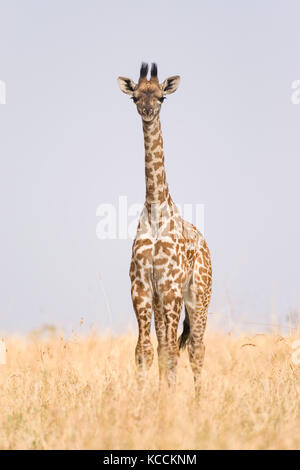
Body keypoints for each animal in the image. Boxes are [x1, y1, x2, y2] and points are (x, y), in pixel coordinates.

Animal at [116, 63, 211, 400]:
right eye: (135, 97)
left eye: (161, 97)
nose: (147, 111)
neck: (157, 211)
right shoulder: (142, 287)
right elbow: (144, 350)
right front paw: (148, 400)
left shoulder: (171, 287)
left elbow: (171, 351)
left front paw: (166, 401)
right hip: (161, 301)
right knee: (164, 347)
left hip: (198, 295)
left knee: (196, 347)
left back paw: (198, 403)